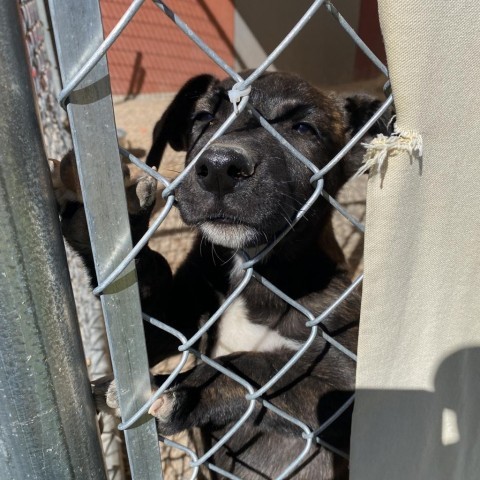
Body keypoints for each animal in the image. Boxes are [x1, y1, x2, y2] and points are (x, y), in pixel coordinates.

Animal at [53, 72, 390, 480]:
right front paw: (109, 227)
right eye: (203, 117)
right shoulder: (174, 323)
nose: (219, 168)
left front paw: (182, 390)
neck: (250, 271)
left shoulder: (348, 381)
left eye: (304, 128)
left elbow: (261, 370)